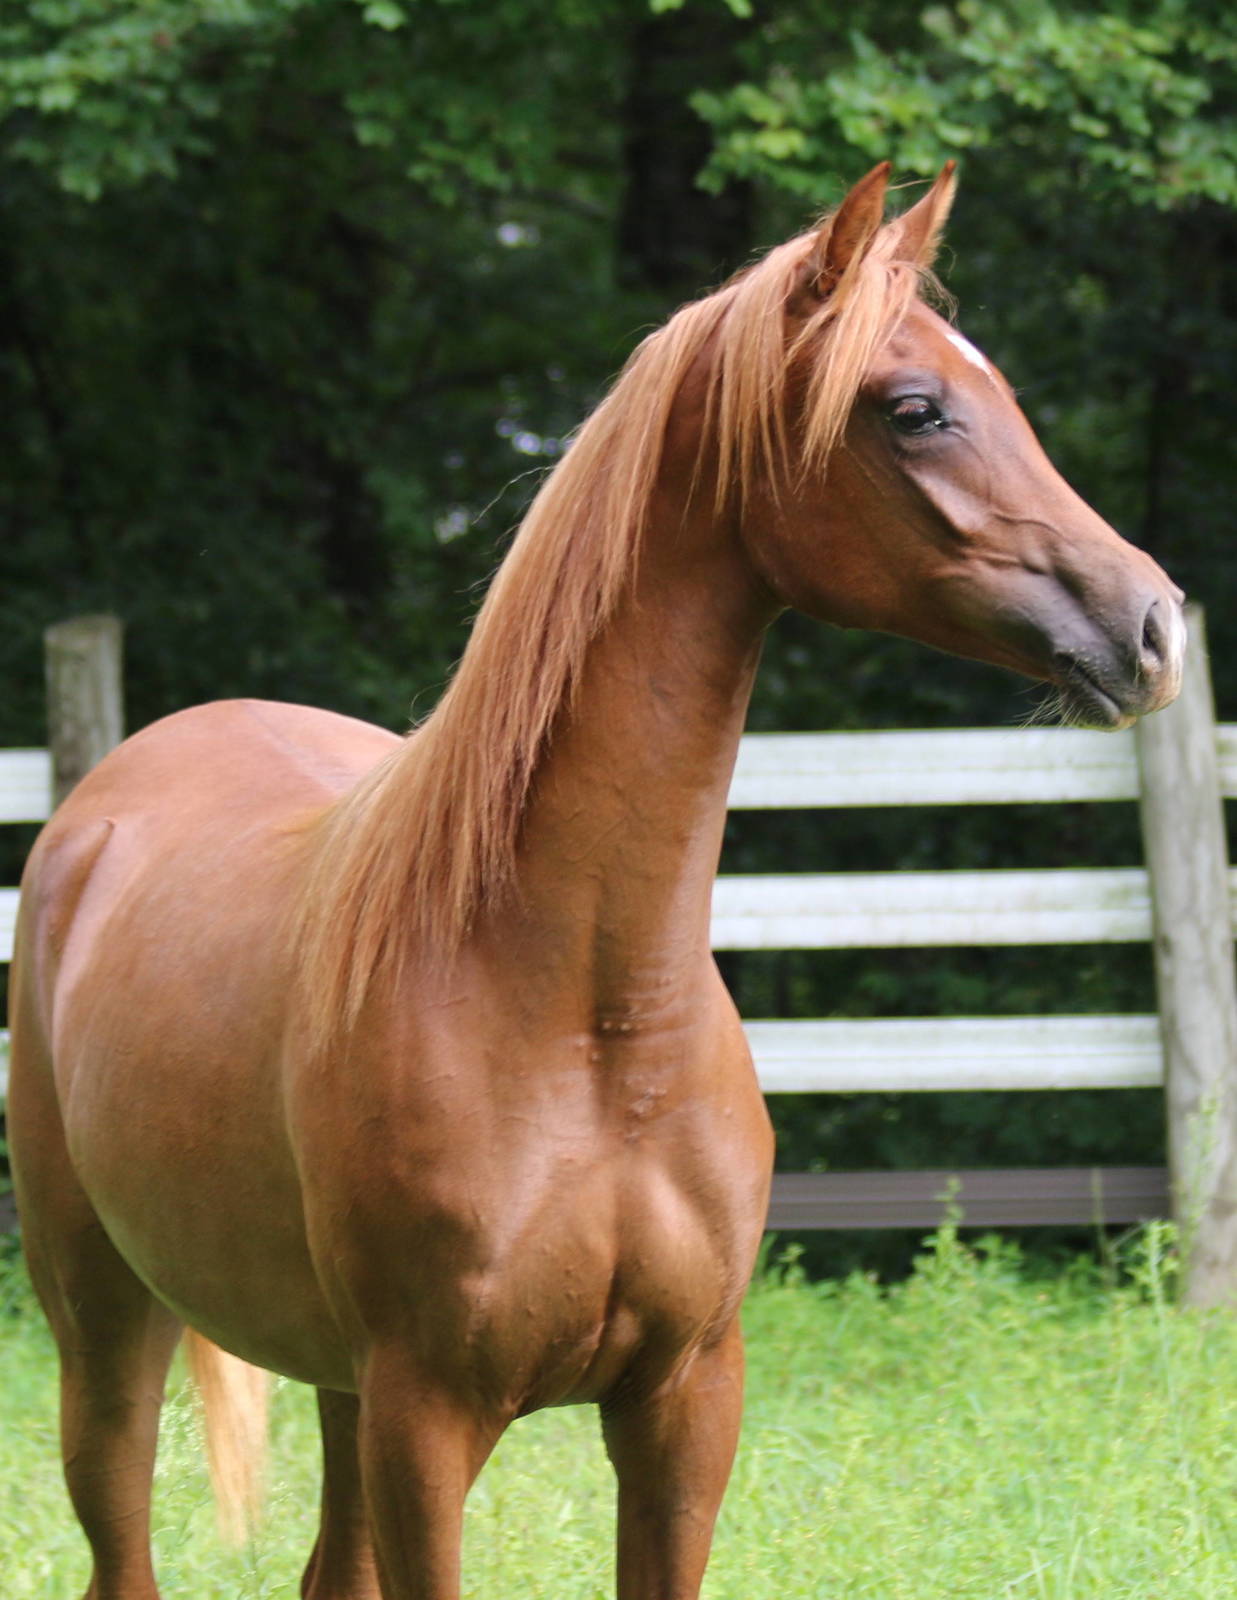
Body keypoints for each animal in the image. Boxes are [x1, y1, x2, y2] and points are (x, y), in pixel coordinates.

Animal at [9, 162, 1184, 1600]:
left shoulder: (683, 1402)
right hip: (104, 1325)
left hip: (332, 1381)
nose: (1153, 623)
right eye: (914, 409)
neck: (590, 1022)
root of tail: (104, 802)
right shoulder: (428, 1418)